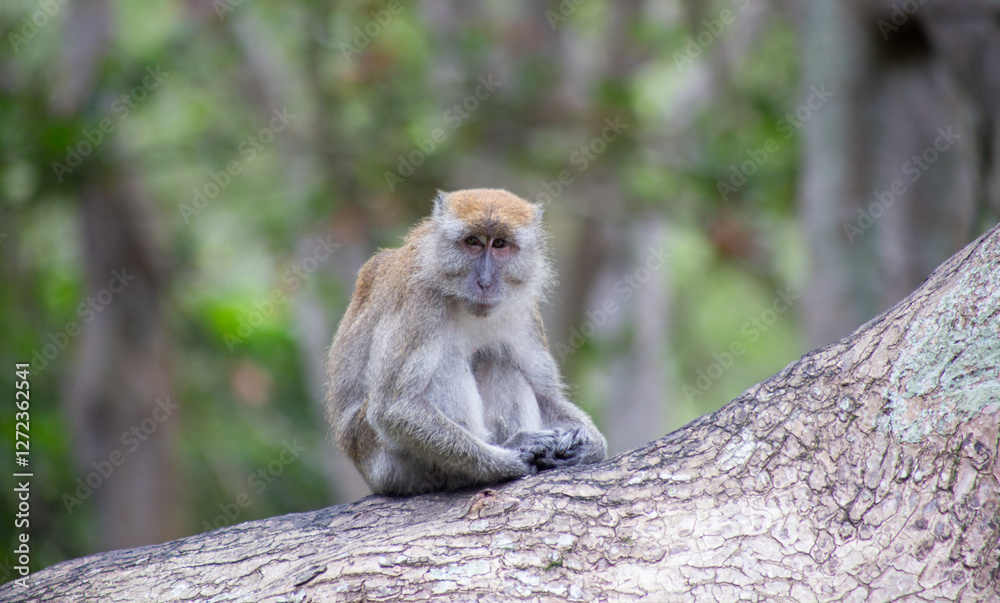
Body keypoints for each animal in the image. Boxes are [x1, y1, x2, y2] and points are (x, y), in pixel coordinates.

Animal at [325, 188, 607, 496]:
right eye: (472, 242)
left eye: (500, 244)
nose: (484, 281)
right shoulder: (419, 300)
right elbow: (394, 407)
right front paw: (506, 460)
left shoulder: (524, 309)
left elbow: (545, 395)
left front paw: (590, 444)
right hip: (386, 463)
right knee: (445, 364)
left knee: (499, 363)